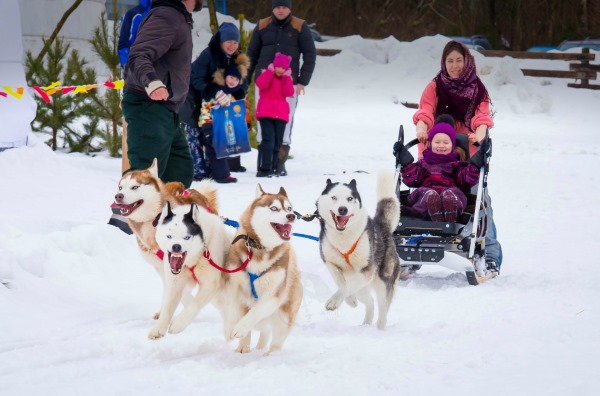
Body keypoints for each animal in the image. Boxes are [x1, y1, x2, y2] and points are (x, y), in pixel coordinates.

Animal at [150, 198, 232, 340]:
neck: (195, 259)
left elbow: (194, 304)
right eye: (169, 236)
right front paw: (159, 328)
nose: (176, 246)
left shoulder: (210, 284)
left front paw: (178, 324)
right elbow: (167, 308)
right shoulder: (175, 283)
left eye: (187, 237)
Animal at [223, 186, 302, 356]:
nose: (291, 216)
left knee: (276, 340)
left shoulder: (273, 296)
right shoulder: (233, 288)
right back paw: (248, 348)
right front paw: (232, 331)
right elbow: (232, 309)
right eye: (274, 208)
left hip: (284, 315)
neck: (260, 248)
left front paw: (240, 328)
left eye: (289, 208)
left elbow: (255, 312)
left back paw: (268, 355)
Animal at [316, 172, 400, 330]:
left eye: (350, 198)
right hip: (363, 289)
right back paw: (365, 324)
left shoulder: (367, 270)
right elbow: (342, 284)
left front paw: (334, 301)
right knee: (370, 302)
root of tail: (383, 227)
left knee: (382, 313)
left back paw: (379, 329)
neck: (344, 237)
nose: (343, 209)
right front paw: (350, 300)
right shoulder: (330, 263)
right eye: (334, 197)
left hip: (382, 284)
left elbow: (346, 286)